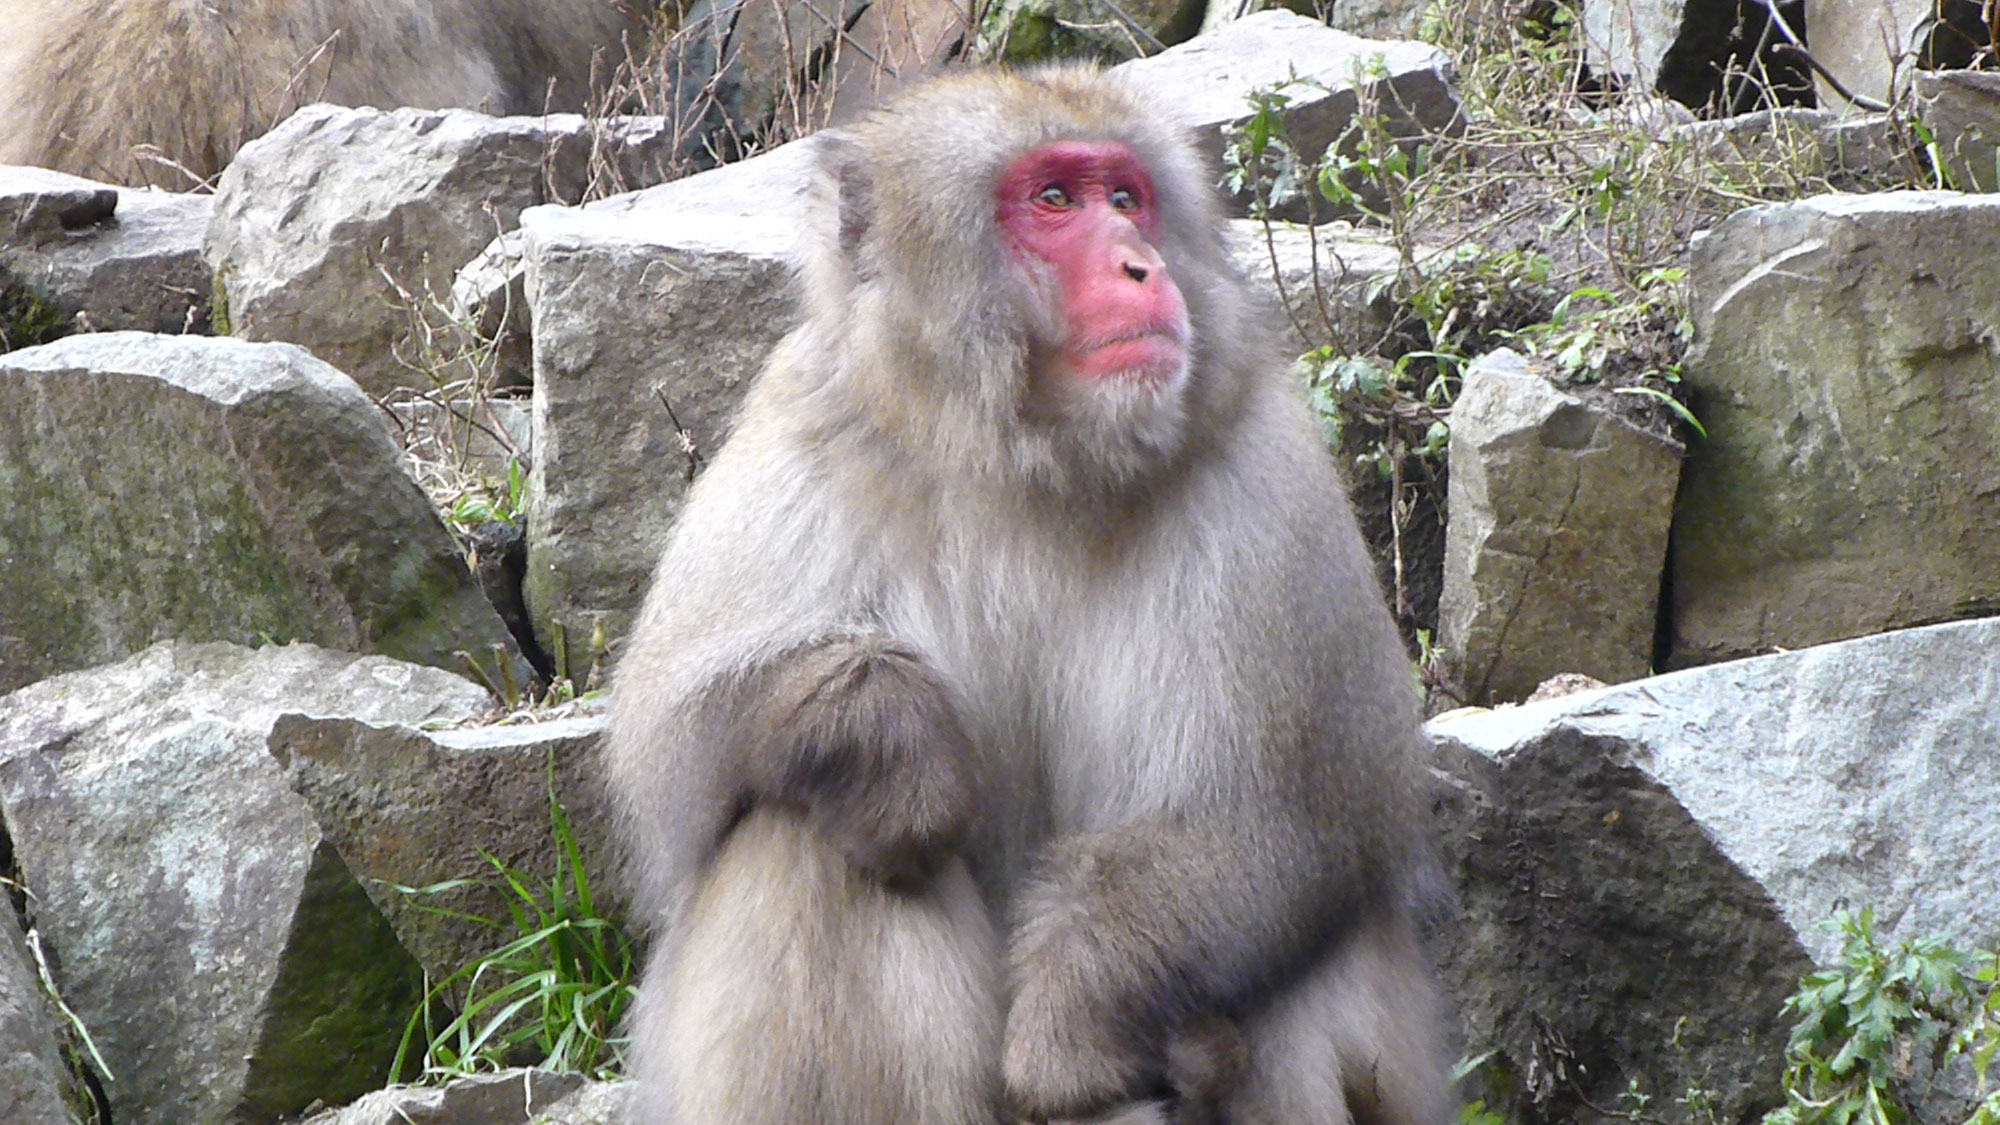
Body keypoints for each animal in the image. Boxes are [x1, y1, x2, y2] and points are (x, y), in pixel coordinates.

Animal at [608, 65, 1456, 1120]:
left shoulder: (1261, 472)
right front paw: (884, 732)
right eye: (1052, 198)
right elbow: (671, 763)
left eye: (1126, 198)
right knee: (803, 835)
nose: (1141, 265)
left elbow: (1293, 817)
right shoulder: (805, 430)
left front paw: (1072, 1029)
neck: (1027, 459)